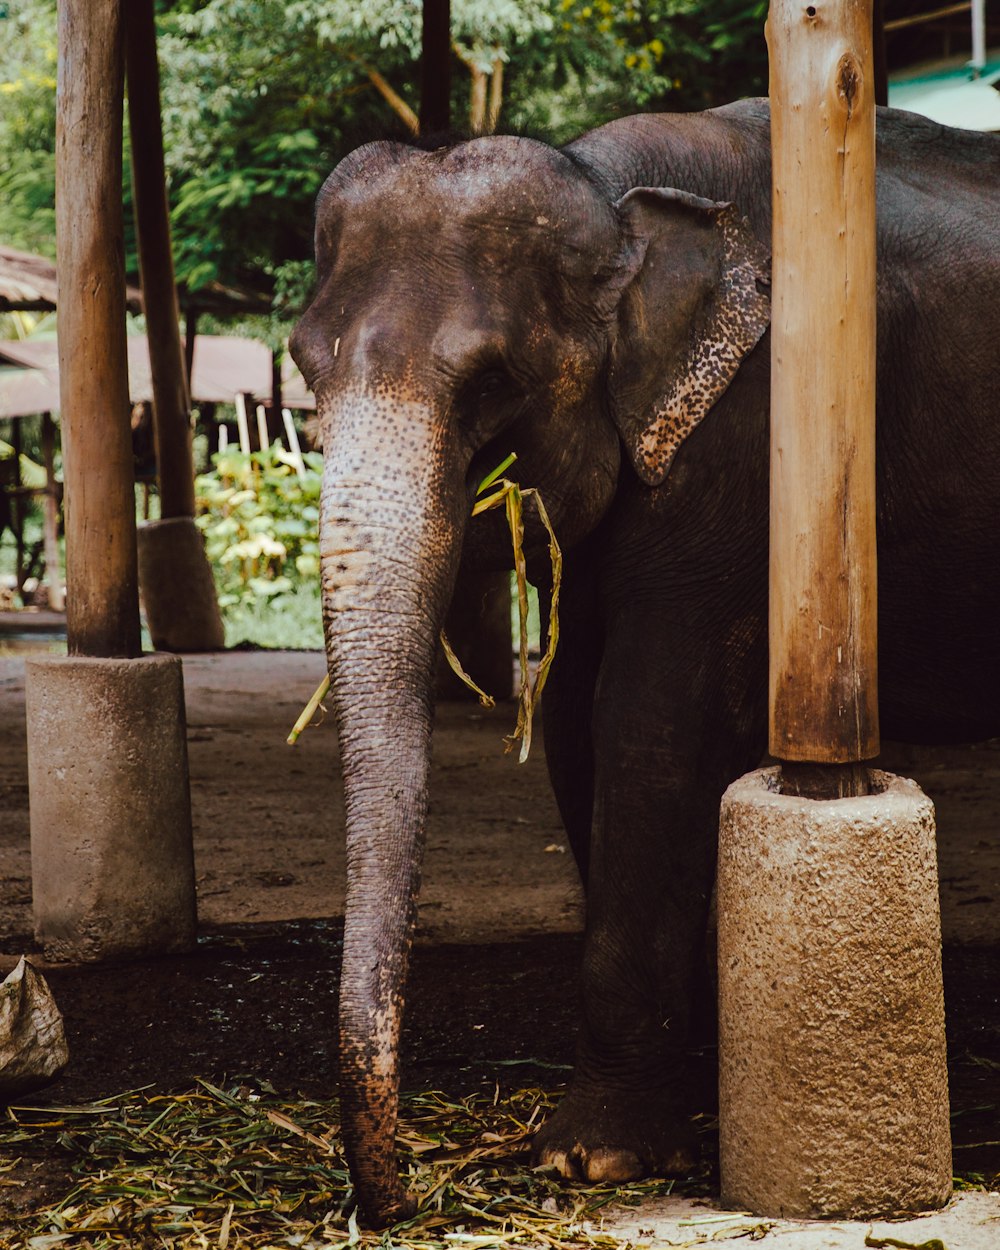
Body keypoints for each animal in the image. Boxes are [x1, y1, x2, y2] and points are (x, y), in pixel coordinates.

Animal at [288, 100, 1000, 1230]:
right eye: (304, 365)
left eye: (491, 381)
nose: (391, 1198)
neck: (611, 190)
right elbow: (574, 721)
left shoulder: (743, 449)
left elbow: (649, 725)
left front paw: (593, 1161)